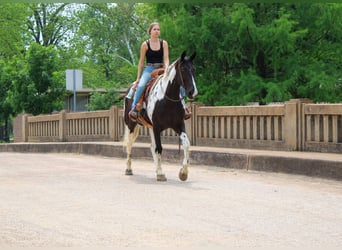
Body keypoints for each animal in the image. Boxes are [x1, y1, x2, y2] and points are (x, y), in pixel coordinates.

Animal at [123, 50, 198, 181]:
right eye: (183, 69)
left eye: (193, 69)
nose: (192, 92)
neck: (167, 99)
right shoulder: (157, 127)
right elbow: (159, 149)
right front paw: (161, 174)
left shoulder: (179, 125)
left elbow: (186, 144)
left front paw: (183, 173)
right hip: (131, 124)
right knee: (129, 144)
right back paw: (128, 169)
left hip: (150, 127)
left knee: (151, 146)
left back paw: (157, 169)